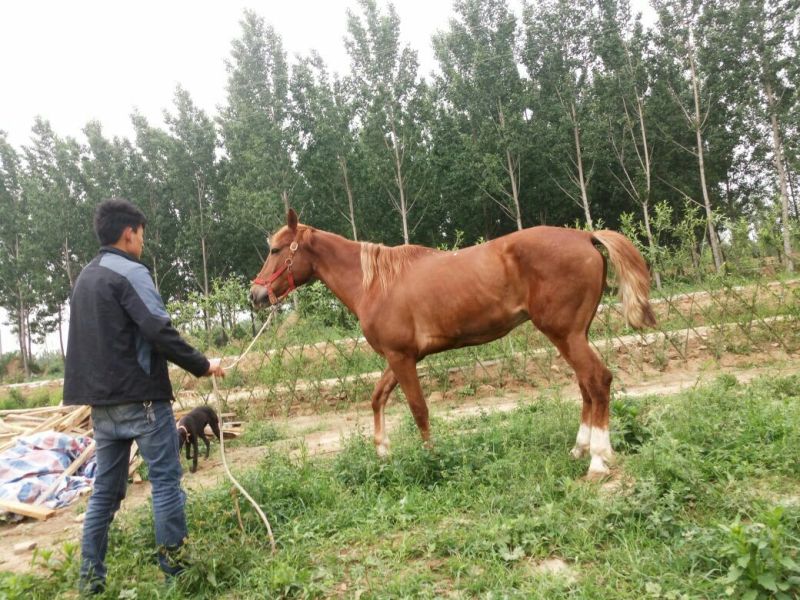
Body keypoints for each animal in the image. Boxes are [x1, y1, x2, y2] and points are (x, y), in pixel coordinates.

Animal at [250, 209, 656, 479]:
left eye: (275, 250)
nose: (256, 295)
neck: (375, 283)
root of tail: (585, 236)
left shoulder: (402, 357)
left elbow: (418, 410)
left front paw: (431, 459)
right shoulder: (400, 358)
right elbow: (378, 397)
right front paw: (383, 453)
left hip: (565, 334)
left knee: (597, 381)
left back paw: (598, 460)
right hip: (573, 336)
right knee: (587, 386)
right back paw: (579, 449)